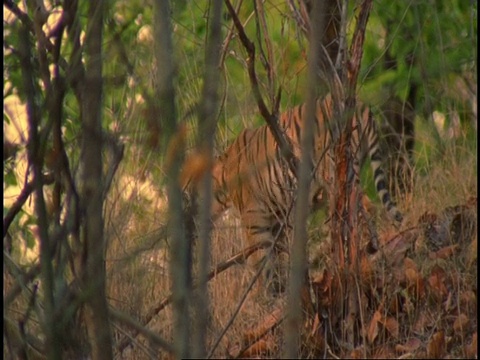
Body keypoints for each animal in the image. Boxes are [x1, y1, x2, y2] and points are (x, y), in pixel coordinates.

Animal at [186, 93, 404, 296]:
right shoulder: (275, 220)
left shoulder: (254, 221)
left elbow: (261, 262)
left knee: (361, 210)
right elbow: (276, 258)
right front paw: (279, 289)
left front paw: (265, 296)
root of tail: (359, 103)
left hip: (336, 173)